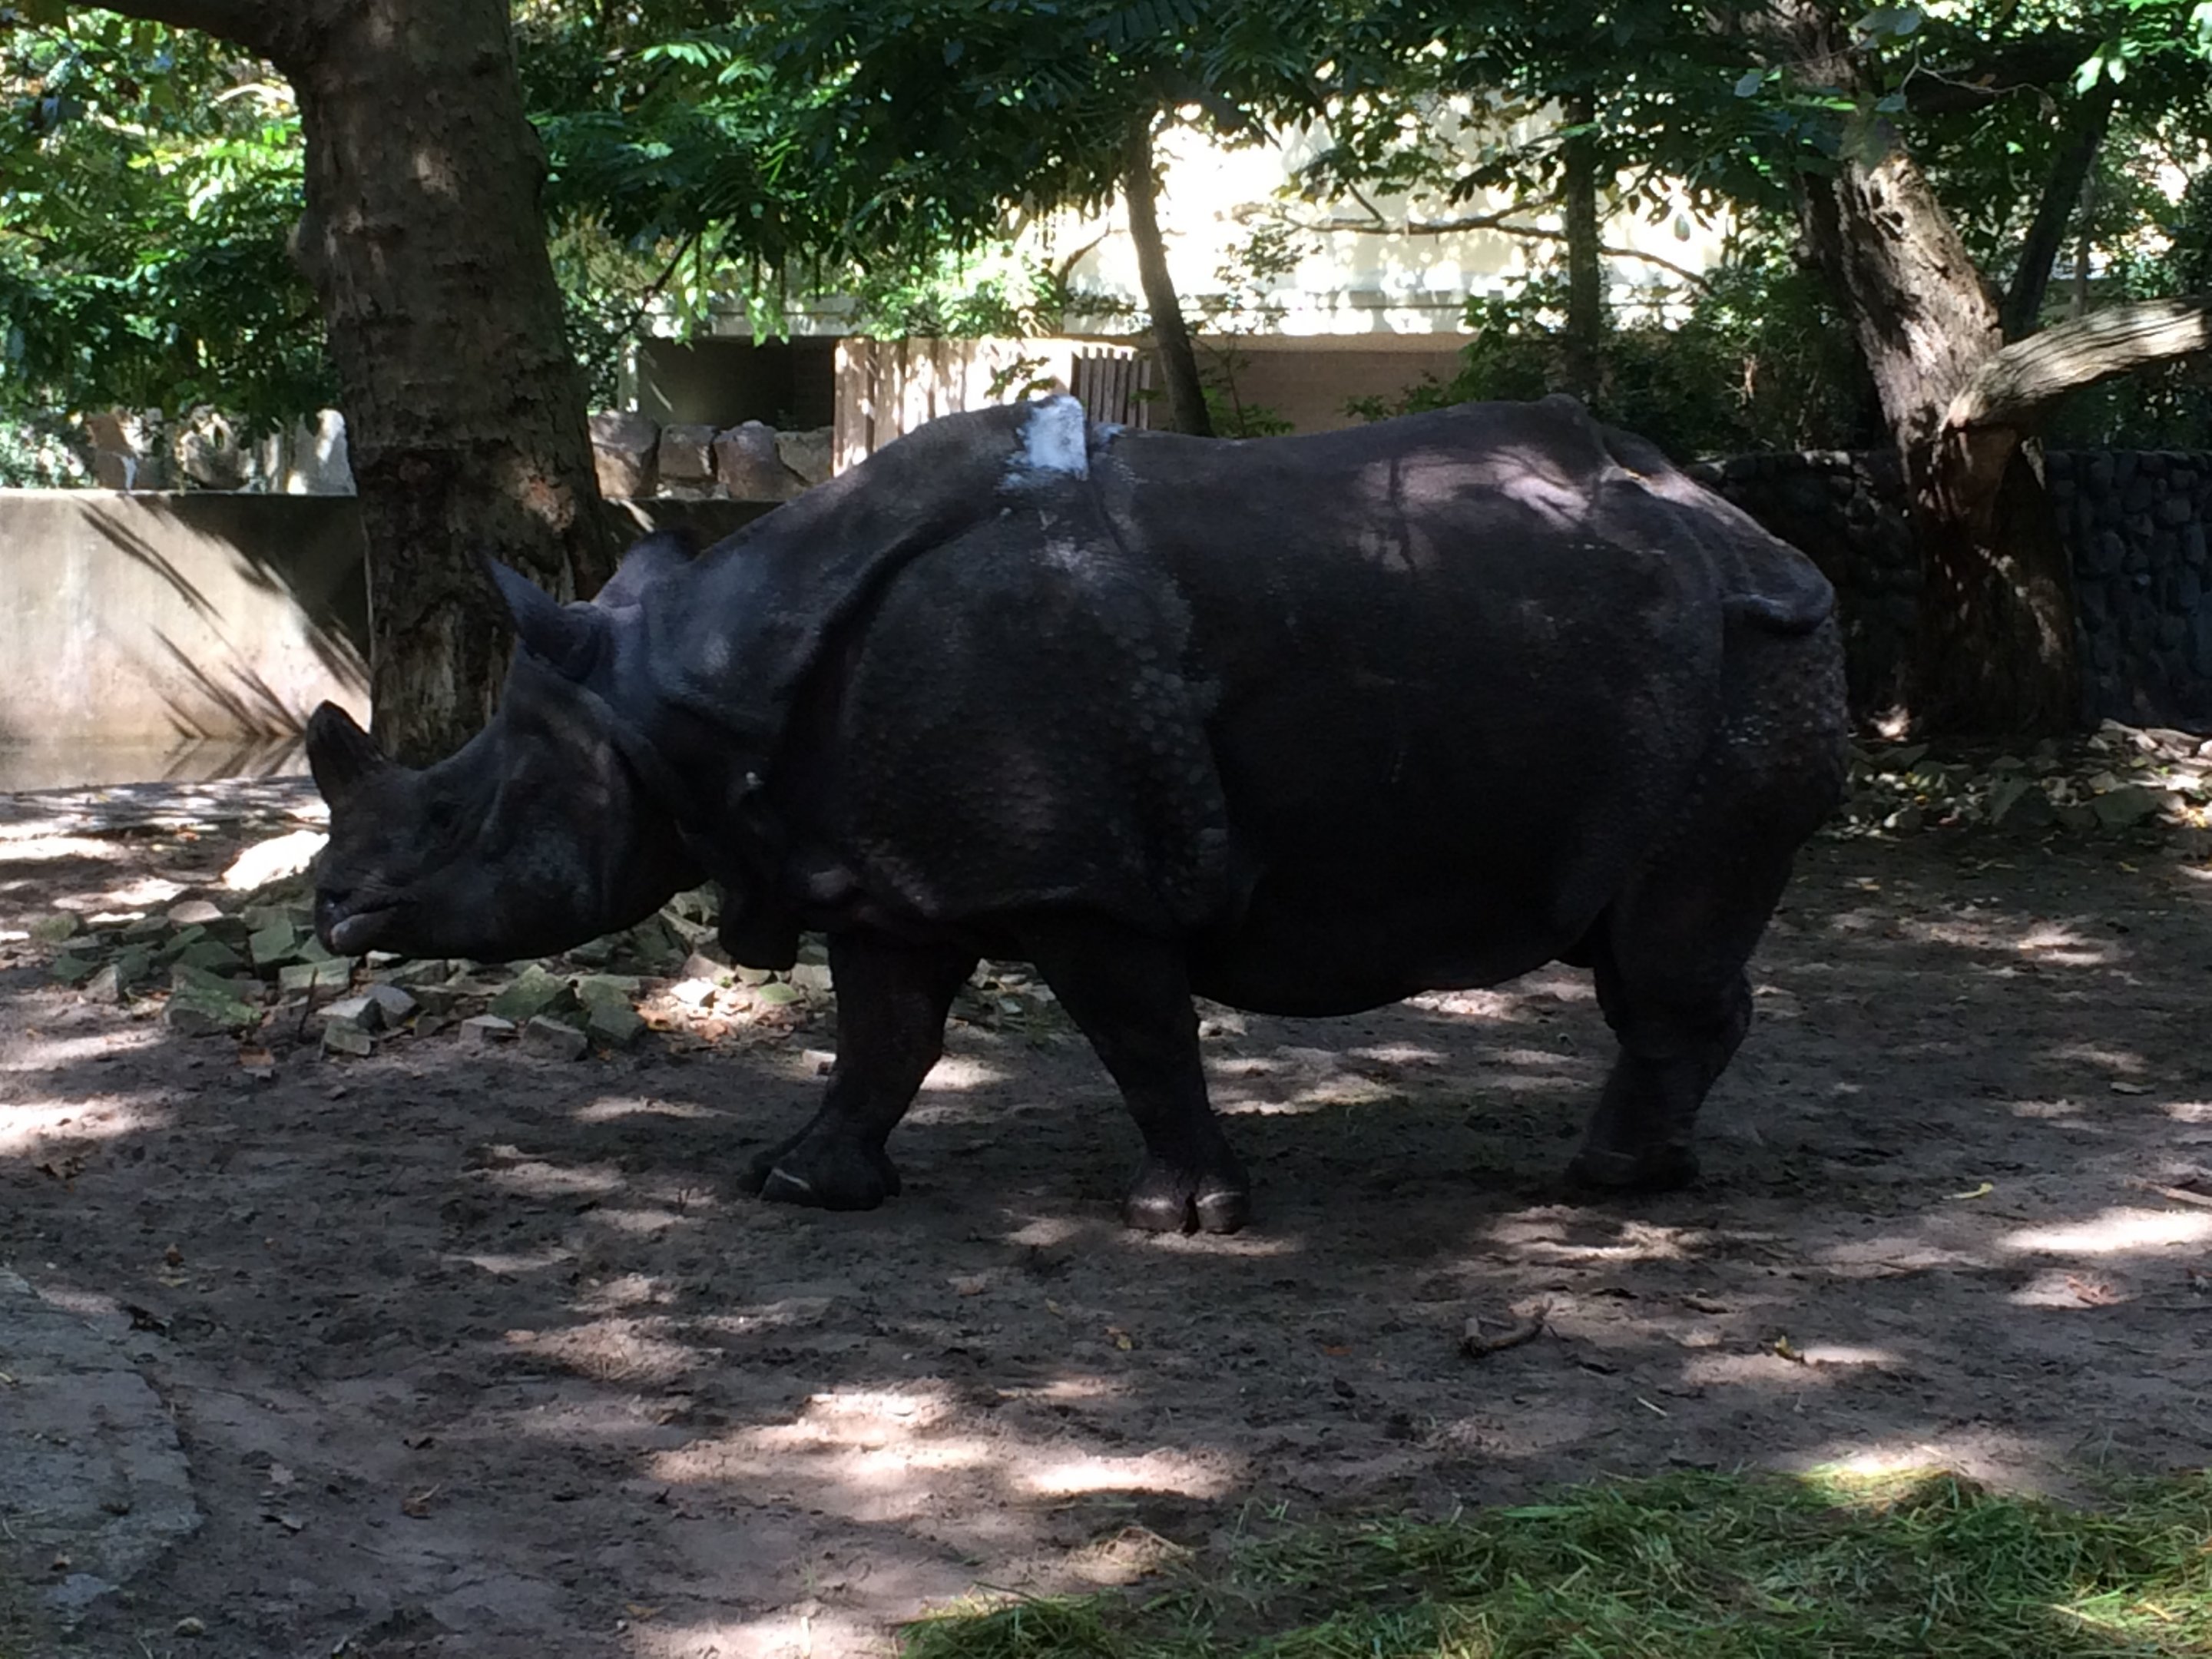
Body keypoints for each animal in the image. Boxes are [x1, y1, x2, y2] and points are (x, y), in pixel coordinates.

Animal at [307, 394, 1846, 1233]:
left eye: (459, 817)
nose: (328, 907)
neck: (678, 701)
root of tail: (1758, 534)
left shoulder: (1072, 873)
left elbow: (1140, 1036)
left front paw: (1182, 1221)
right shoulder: (886, 862)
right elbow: (884, 1036)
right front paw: (801, 1186)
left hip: (1751, 650)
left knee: (1663, 944)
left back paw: (1600, 1184)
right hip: (1692, 651)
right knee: (1647, 944)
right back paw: (1650, 1172)